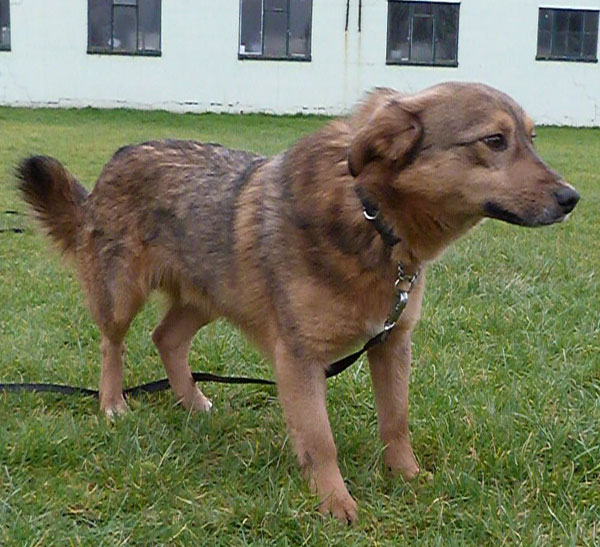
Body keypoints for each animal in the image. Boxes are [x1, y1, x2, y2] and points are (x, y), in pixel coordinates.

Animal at [17, 81, 580, 524]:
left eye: (532, 139)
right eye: (494, 141)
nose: (571, 198)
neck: (372, 217)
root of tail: (117, 159)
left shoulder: (392, 342)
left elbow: (396, 421)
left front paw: (407, 477)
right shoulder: (299, 358)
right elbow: (320, 439)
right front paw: (335, 502)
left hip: (210, 294)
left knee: (166, 337)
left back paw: (192, 400)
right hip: (122, 293)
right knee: (113, 344)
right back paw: (113, 402)